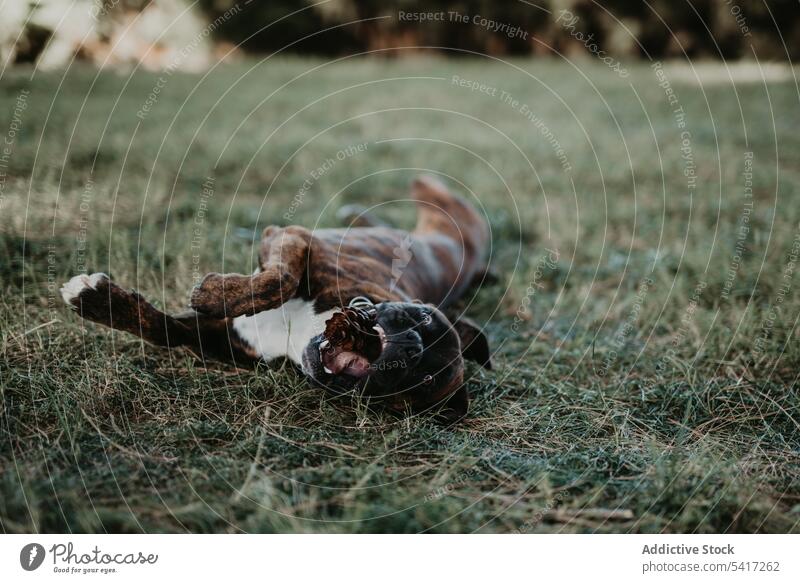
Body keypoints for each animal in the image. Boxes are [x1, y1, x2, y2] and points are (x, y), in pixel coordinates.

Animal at [59, 176, 490, 422]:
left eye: (423, 381)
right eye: (423, 320)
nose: (412, 346)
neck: (300, 337)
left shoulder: (217, 339)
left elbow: (166, 332)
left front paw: (94, 300)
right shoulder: (295, 238)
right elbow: (277, 280)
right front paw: (211, 292)